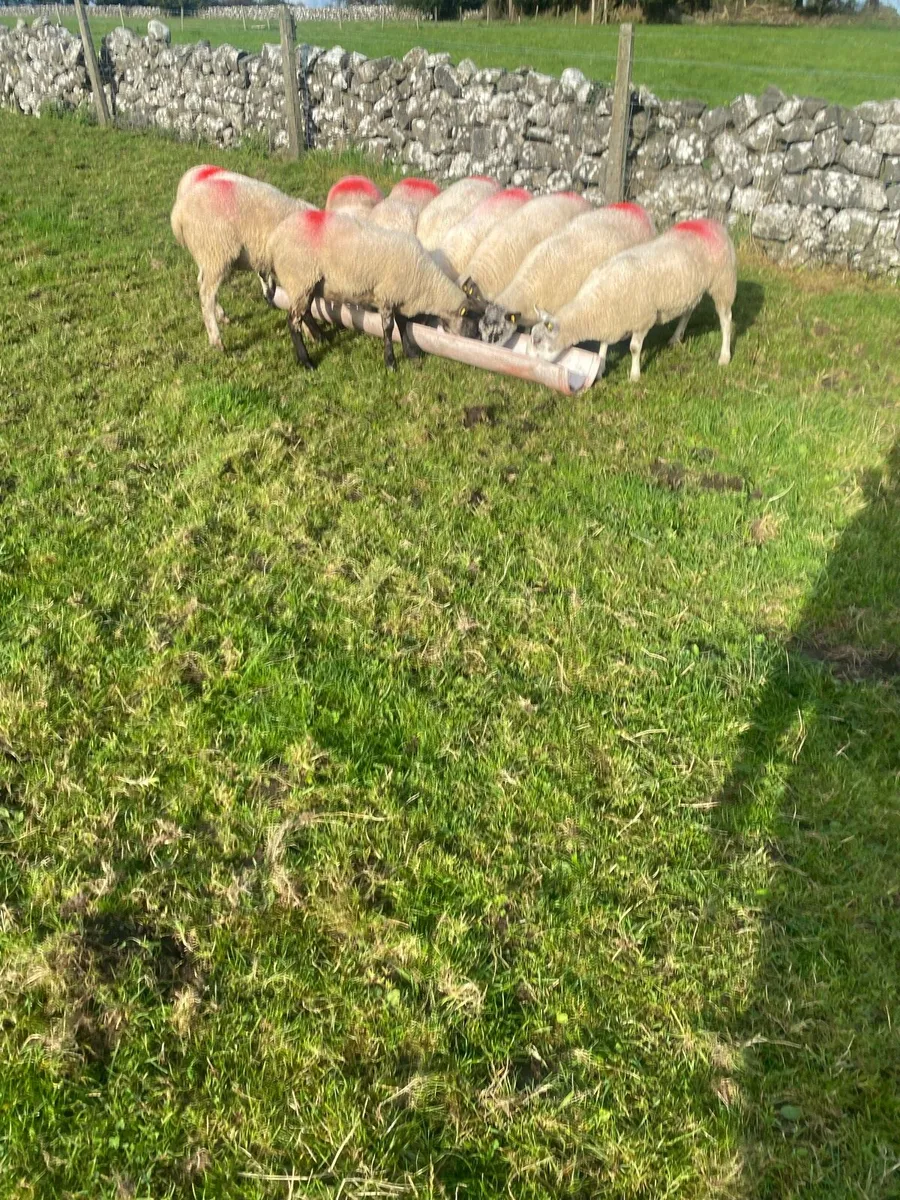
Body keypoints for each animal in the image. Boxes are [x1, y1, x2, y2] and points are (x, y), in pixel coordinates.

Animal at [170, 164, 314, 351]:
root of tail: (178, 213)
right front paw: (309, 332)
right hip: (217, 251)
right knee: (206, 294)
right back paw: (216, 340)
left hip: (207, 255)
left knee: (201, 282)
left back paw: (221, 316)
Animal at [264, 209, 476, 371]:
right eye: (471, 321)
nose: (472, 341)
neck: (427, 283)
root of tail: (273, 239)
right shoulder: (387, 295)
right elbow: (389, 329)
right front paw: (390, 362)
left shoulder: (400, 296)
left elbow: (403, 324)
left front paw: (411, 353)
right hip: (300, 278)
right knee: (293, 322)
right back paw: (306, 361)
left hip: (307, 284)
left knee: (305, 312)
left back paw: (321, 338)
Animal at [530, 218, 737, 381]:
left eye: (538, 341)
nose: (530, 361)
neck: (595, 304)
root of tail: (713, 224)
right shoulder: (611, 320)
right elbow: (603, 345)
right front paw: (600, 369)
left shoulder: (643, 319)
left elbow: (635, 348)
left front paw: (634, 376)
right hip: (689, 291)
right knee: (688, 311)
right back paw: (675, 338)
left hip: (723, 283)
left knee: (726, 320)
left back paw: (724, 357)